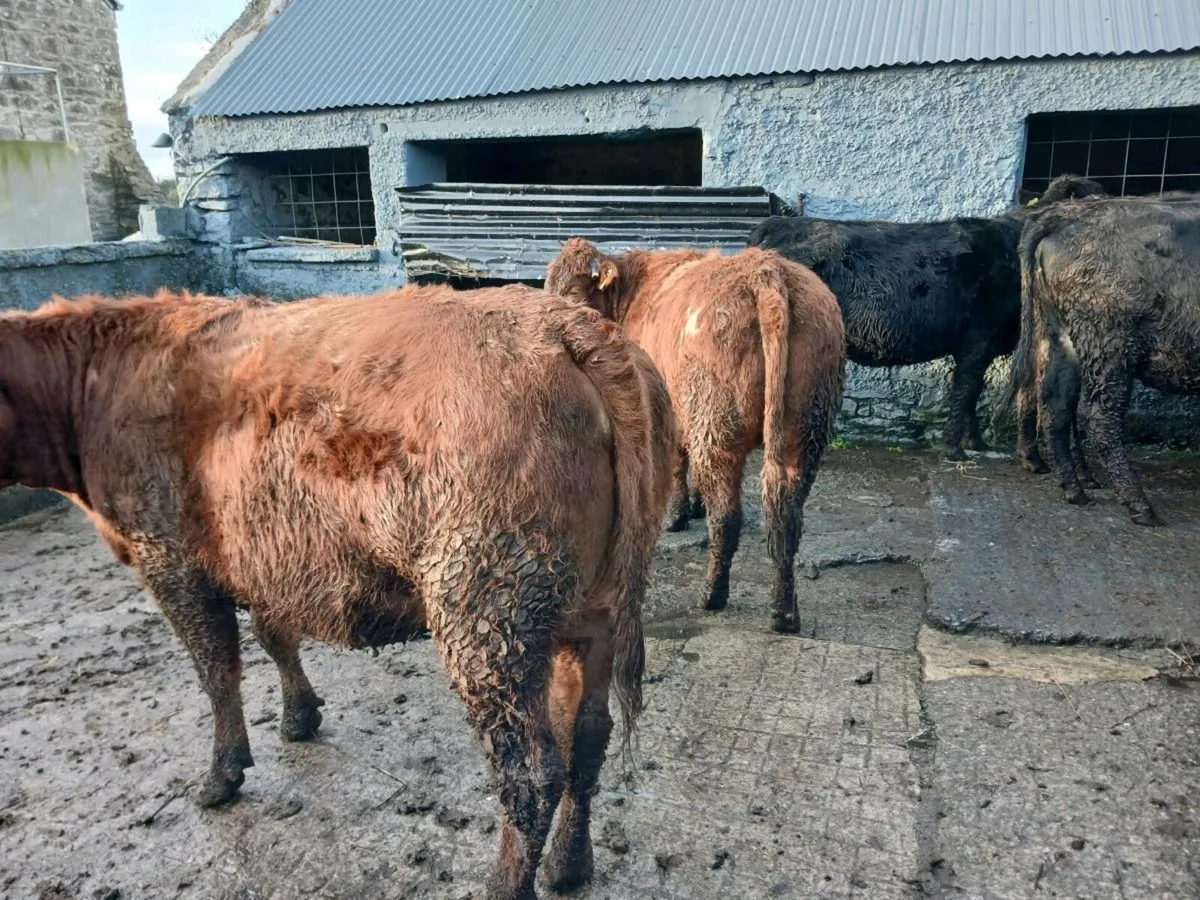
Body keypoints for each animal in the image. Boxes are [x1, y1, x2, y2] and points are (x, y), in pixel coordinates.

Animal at [0, 285, 676, 900]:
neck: (96, 379)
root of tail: (568, 324)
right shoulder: (266, 560)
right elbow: (274, 637)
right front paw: (299, 715)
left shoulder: (170, 561)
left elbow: (218, 673)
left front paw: (223, 773)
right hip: (590, 616)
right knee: (585, 740)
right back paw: (569, 865)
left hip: (489, 613)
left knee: (531, 774)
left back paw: (506, 884)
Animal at [546, 239, 846, 635]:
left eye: (575, 293)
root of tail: (765, 270)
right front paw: (695, 504)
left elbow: (677, 465)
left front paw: (678, 514)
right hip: (806, 429)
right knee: (786, 515)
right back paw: (784, 613)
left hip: (714, 422)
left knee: (727, 517)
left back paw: (713, 594)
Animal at [747, 175, 1106, 463]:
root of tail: (777, 224)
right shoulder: (979, 340)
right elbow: (966, 390)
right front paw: (954, 450)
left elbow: (972, 392)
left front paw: (976, 442)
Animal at [1009, 192, 1200, 526]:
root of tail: (1070, 215)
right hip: (1110, 344)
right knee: (1098, 414)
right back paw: (1139, 506)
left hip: (1066, 340)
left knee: (1054, 402)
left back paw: (1075, 490)